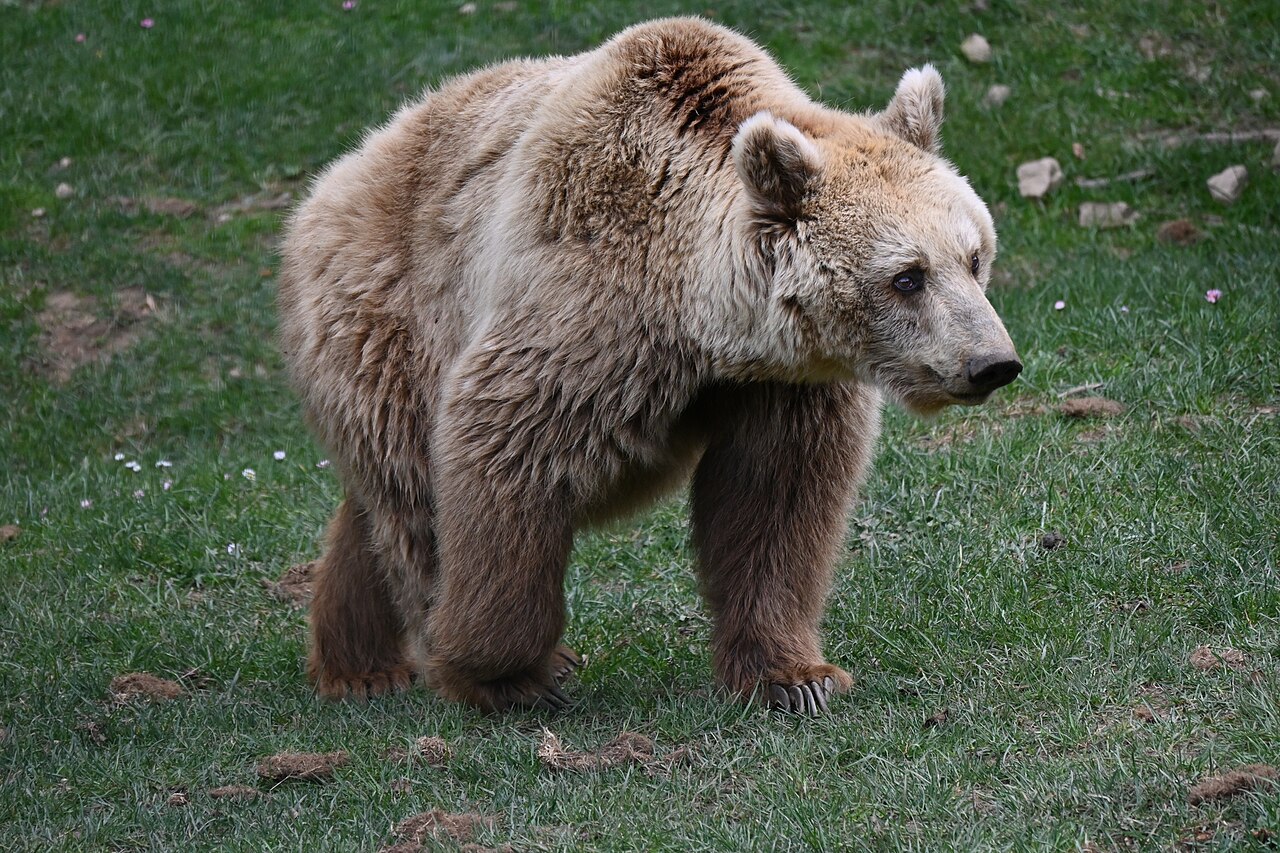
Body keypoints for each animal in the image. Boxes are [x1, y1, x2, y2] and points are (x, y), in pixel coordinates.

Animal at [277, 17, 1021, 715]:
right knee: (413, 498)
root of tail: (339, 174)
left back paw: (358, 662)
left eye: (974, 256)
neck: (699, 316)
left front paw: (795, 676)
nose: (993, 362)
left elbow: (776, 502)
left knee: (378, 510)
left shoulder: (781, 384)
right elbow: (505, 457)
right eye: (907, 276)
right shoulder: (584, 310)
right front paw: (508, 672)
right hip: (390, 316)